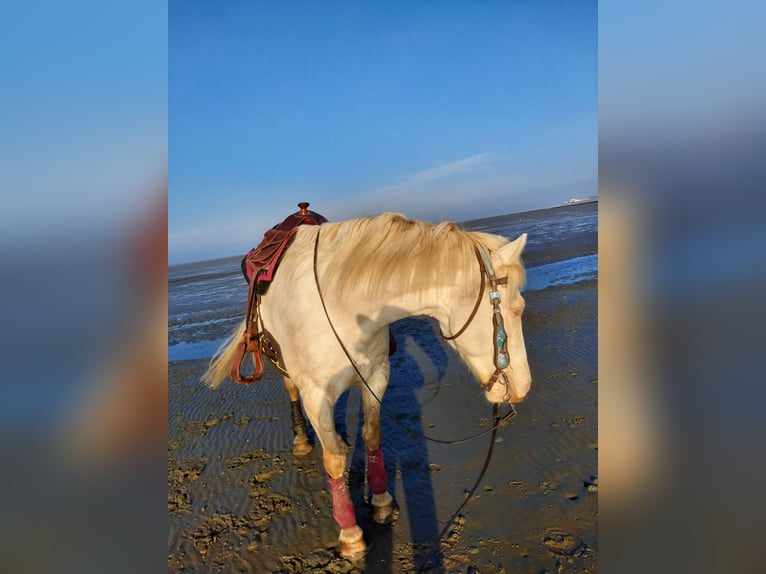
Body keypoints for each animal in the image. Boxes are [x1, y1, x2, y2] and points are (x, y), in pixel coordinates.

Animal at [201, 212, 532, 560]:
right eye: (517, 308)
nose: (523, 387)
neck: (342, 304)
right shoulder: (315, 394)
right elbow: (333, 461)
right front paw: (350, 533)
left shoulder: (375, 377)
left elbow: (372, 436)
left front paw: (381, 503)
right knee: (292, 392)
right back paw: (302, 439)